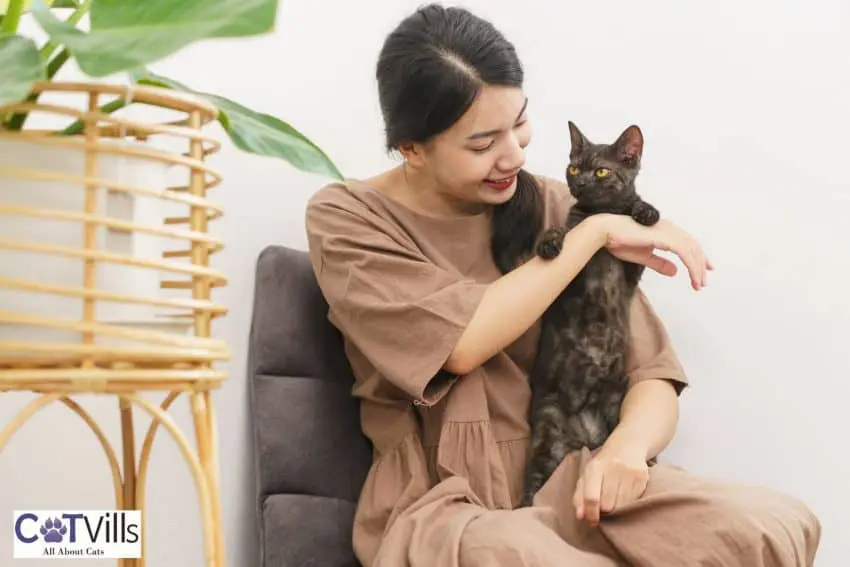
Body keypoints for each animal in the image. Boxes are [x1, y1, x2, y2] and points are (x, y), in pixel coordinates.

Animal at [496, 120, 664, 506]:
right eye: (573, 168)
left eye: (601, 170)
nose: (581, 183)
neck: (601, 215)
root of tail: (586, 437)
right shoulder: (572, 273)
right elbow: (567, 230)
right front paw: (549, 241)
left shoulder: (632, 272)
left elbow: (634, 209)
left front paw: (645, 210)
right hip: (548, 431)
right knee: (534, 486)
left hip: (616, 407)